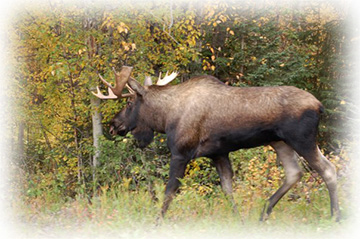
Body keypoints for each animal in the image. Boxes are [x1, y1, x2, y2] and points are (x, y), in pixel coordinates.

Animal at [91, 66, 338, 222]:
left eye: (130, 103)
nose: (113, 125)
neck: (165, 118)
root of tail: (319, 106)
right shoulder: (219, 154)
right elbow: (228, 190)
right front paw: (239, 221)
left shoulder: (180, 153)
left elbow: (169, 192)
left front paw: (156, 223)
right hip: (279, 142)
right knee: (294, 173)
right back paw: (263, 214)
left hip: (301, 139)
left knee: (328, 169)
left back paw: (335, 216)